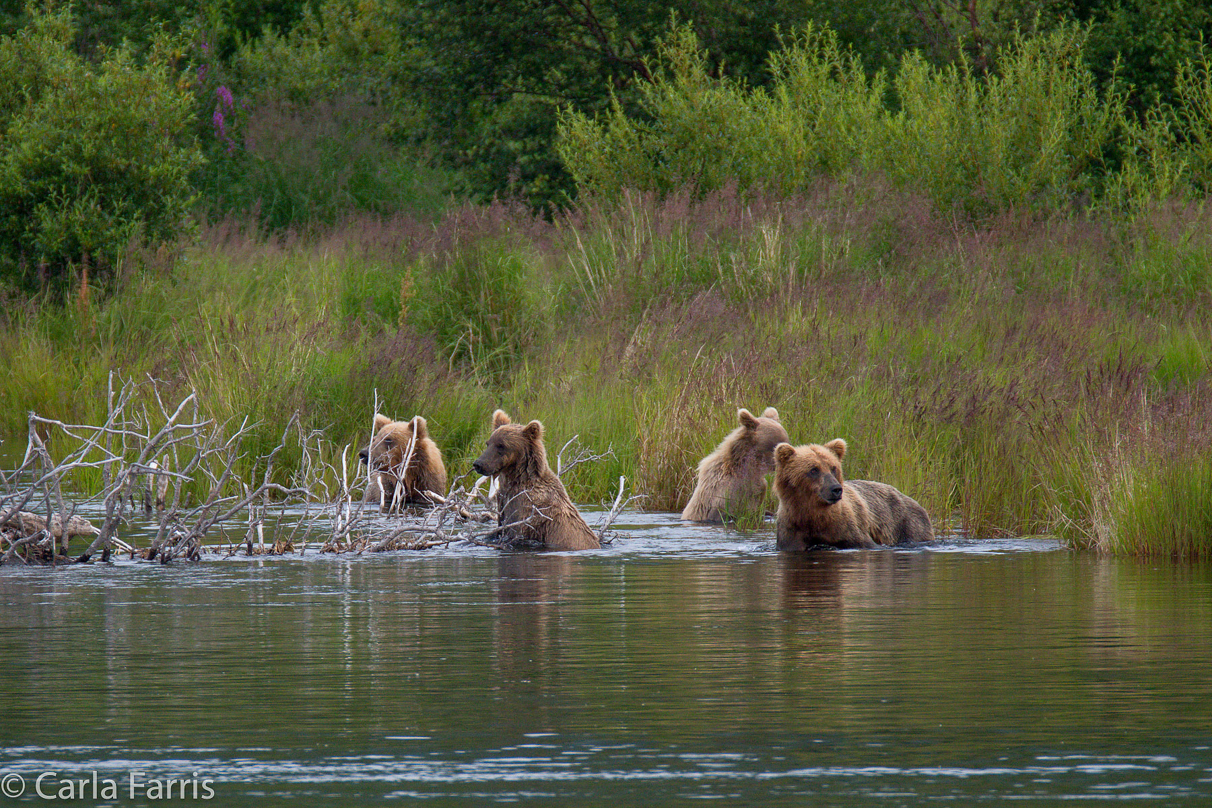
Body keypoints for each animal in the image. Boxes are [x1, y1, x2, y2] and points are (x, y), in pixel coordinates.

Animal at [475, 411, 603, 549]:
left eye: (501, 445)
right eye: (488, 443)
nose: (478, 464)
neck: (517, 480)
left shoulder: (528, 511)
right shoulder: (504, 503)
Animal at [770, 438, 930, 552]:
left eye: (833, 467)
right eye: (814, 469)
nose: (836, 489)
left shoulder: (849, 529)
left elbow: (863, 542)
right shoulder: (792, 530)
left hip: (908, 525)